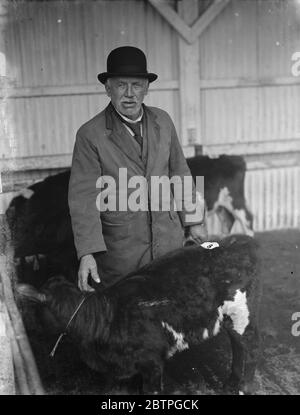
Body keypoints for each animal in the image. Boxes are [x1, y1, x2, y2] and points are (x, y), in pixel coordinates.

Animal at [16, 236, 260, 394]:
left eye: (35, 309)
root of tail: (235, 244)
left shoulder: (152, 361)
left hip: (241, 314)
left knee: (246, 347)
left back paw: (241, 385)